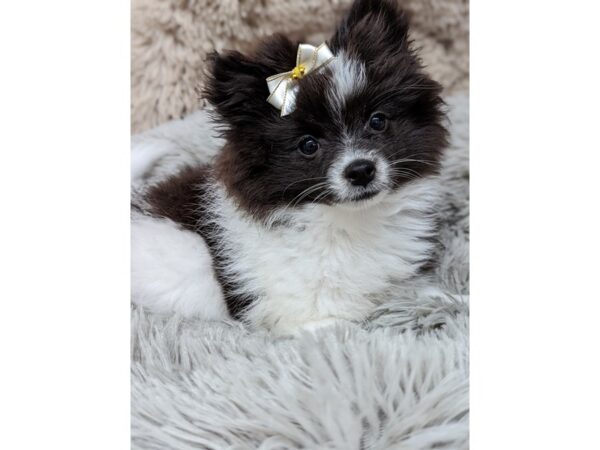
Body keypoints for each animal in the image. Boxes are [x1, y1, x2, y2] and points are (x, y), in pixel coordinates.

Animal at [132, 0, 450, 330]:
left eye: (377, 121)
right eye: (308, 145)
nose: (361, 170)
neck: (349, 220)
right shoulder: (299, 315)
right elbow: (344, 325)